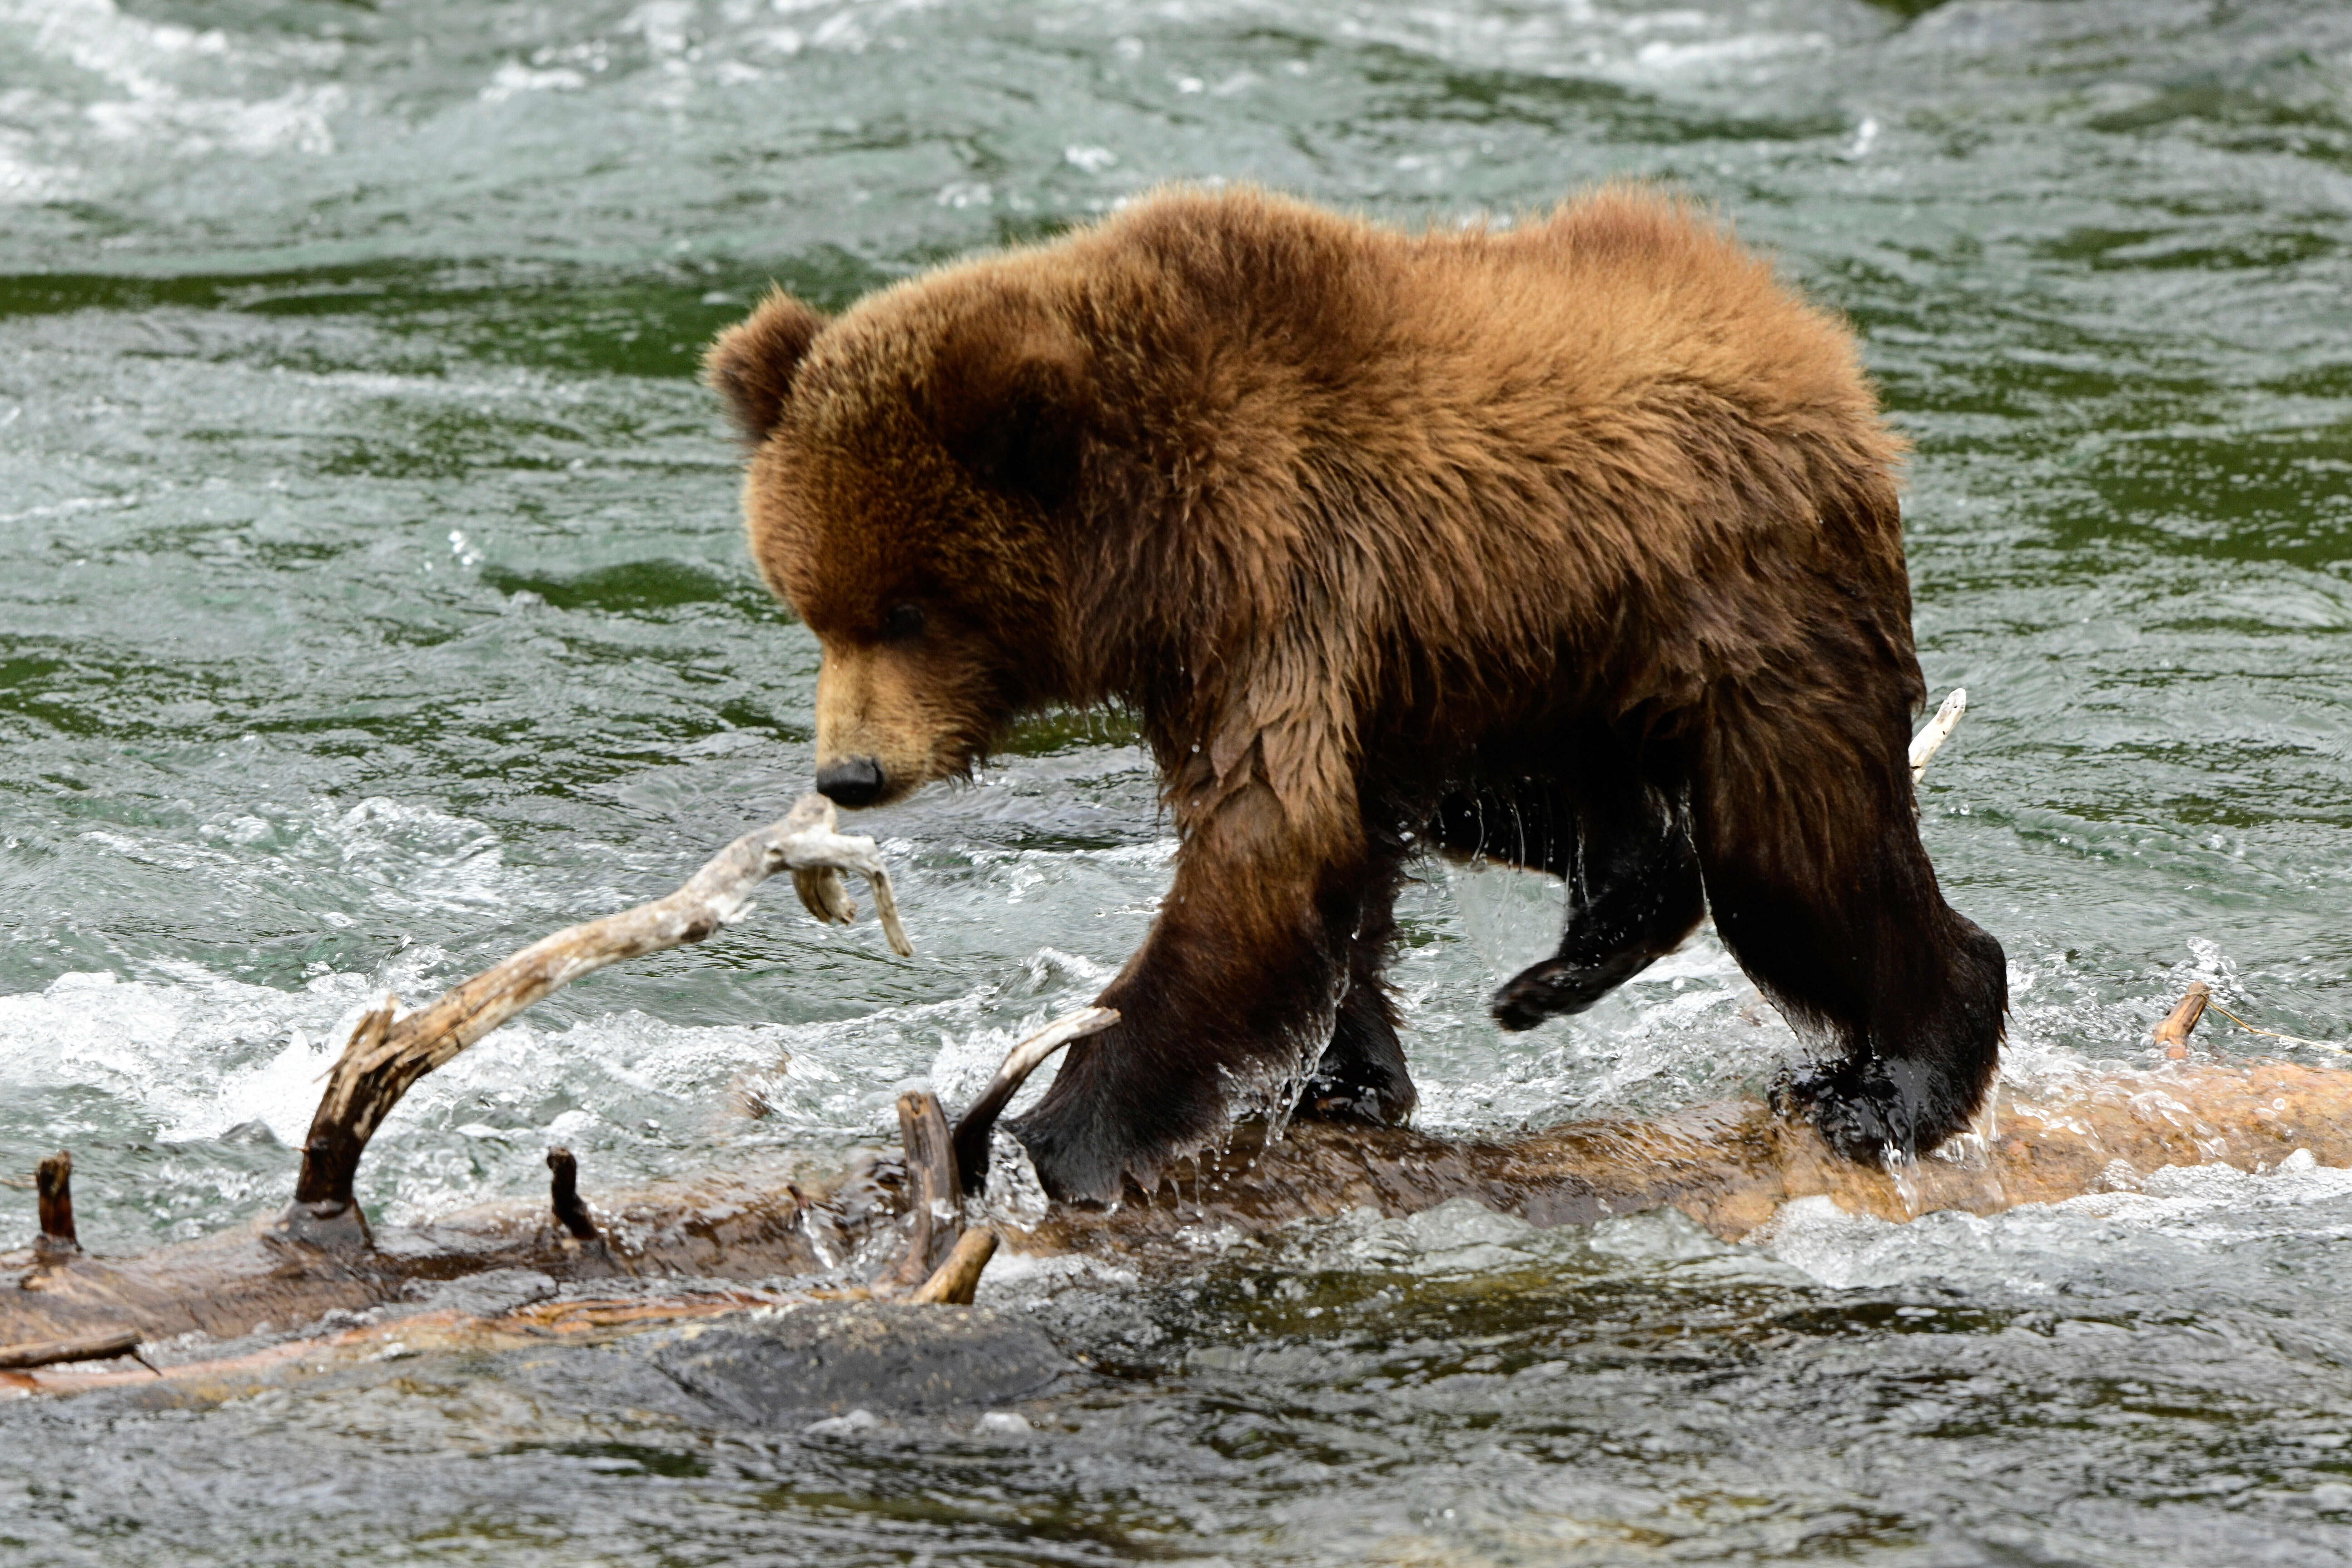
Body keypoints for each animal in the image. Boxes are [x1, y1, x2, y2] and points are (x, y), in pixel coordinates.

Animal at [705, 184, 2008, 1206]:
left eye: (908, 610)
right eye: (812, 602)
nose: (850, 772)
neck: (1140, 552)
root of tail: (1800, 328)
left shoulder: (1277, 570)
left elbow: (1268, 844)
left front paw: (1045, 1134)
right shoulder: (1242, 644)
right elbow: (1319, 854)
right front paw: (1341, 1080)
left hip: (1740, 612)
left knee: (1795, 854)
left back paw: (1893, 1079)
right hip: (1534, 649)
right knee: (1521, 808)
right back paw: (1582, 941)